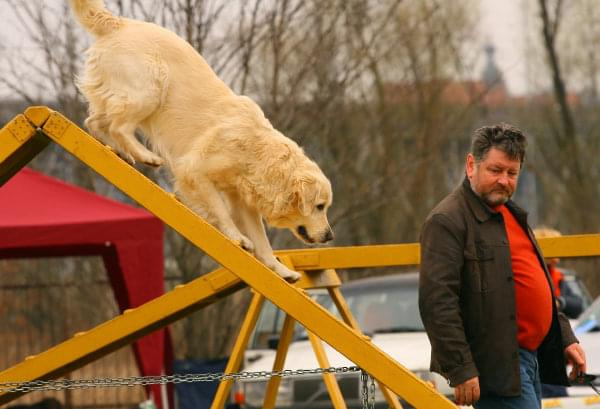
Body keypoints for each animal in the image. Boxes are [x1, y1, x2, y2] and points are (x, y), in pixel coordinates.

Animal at [71, 0, 332, 280]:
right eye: (319, 206)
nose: (330, 236)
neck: (257, 151)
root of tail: (119, 23)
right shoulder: (195, 171)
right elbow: (220, 210)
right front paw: (238, 238)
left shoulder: (242, 198)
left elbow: (262, 241)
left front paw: (280, 271)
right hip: (151, 87)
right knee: (119, 125)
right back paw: (145, 155)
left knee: (94, 122)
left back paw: (122, 152)